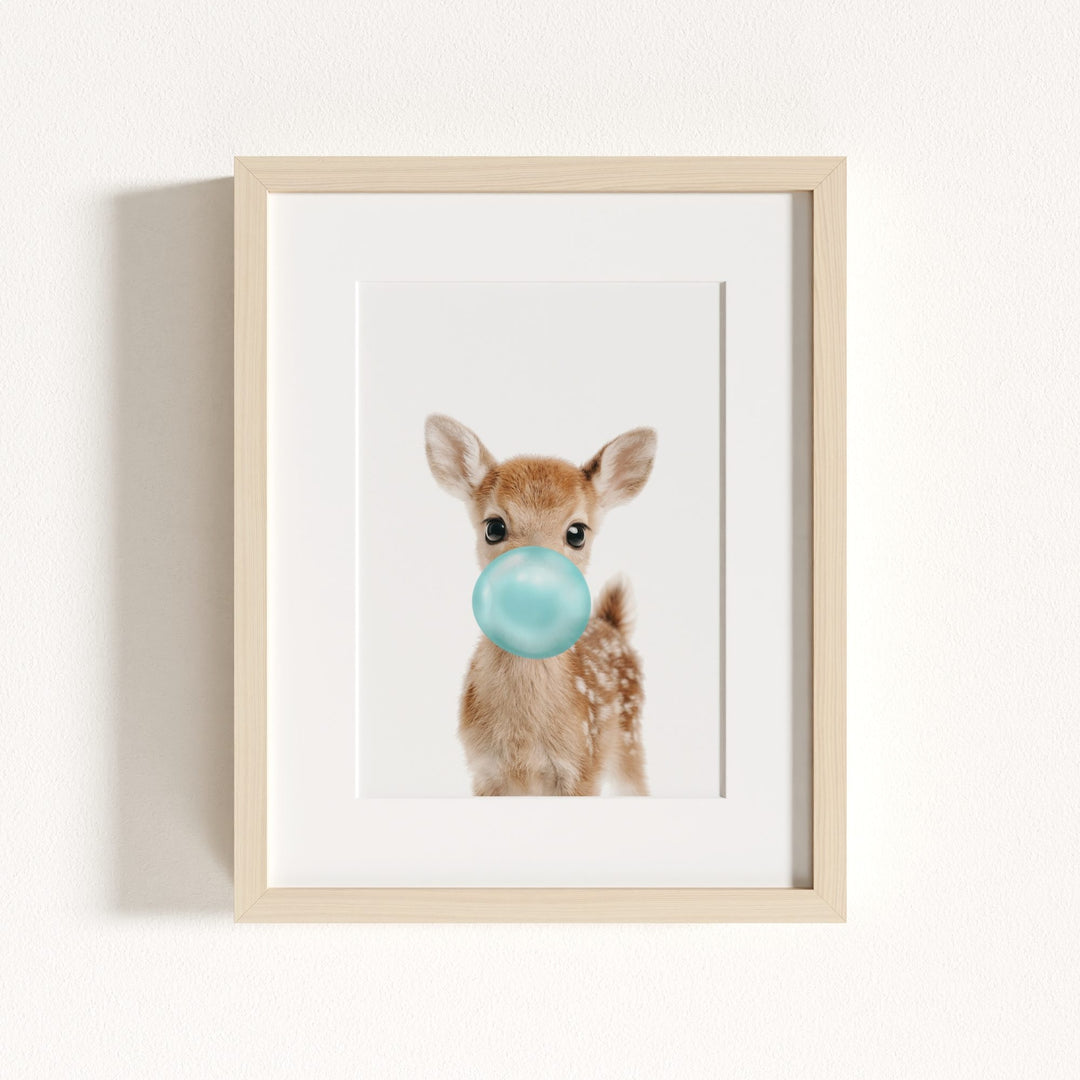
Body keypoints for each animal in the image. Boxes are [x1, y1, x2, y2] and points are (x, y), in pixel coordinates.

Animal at [424, 414, 657, 796]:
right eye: (494, 527)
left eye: (577, 532)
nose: (533, 584)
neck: (523, 743)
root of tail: (612, 624)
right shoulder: (484, 771)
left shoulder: (582, 768)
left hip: (629, 739)